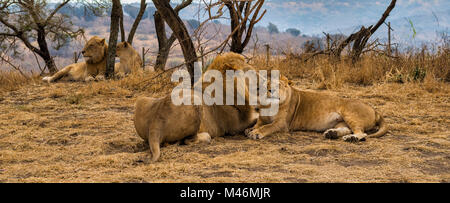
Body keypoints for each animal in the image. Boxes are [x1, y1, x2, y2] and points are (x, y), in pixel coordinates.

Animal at [244, 75, 388, 143]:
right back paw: (331, 134)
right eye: (266, 85)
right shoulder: (262, 119)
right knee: (347, 129)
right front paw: (250, 129)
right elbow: (258, 124)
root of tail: (375, 110)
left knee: (361, 133)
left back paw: (351, 138)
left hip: (349, 112)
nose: (271, 90)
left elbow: (267, 127)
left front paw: (256, 133)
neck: (270, 105)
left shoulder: (282, 124)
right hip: (341, 121)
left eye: (279, 85)